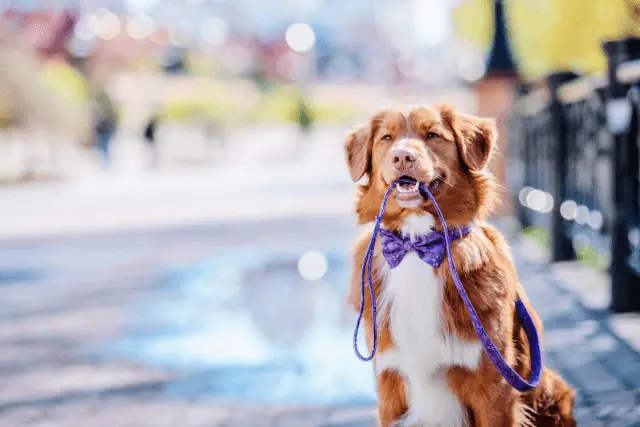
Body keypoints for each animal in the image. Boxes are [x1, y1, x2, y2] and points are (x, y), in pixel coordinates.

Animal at [342, 104, 576, 427]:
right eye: (386, 138)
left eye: (432, 135)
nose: (402, 156)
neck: (416, 247)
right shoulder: (389, 385)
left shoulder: (494, 388)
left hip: (551, 388)